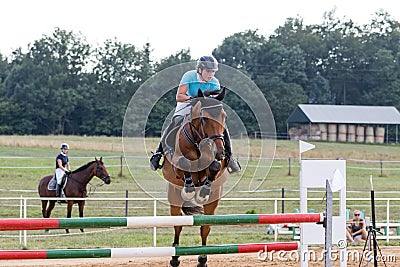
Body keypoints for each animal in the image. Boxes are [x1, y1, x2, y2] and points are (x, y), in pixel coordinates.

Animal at [160, 88, 228, 267]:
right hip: (174, 195)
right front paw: (190, 189)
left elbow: (214, 166)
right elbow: (185, 162)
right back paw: (174, 258)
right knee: (177, 225)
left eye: (224, 116)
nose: (220, 151)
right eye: (204, 119)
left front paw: (203, 191)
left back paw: (203, 259)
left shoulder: (216, 163)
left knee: (205, 227)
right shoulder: (177, 164)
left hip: (213, 201)